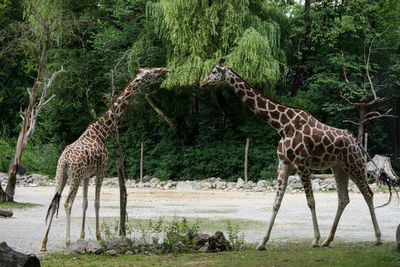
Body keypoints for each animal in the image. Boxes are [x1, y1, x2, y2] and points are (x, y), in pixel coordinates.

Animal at [41, 66, 170, 251]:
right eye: (149, 73)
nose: (163, 69)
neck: (101, 133)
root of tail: (64, 159)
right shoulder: (101, 169)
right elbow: (96, 202)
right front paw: (99, 237)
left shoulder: (87, 175)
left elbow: (85, 203)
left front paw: (82, 236)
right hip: (74, 176)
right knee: (67, 203)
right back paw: (67, 241)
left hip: (61, 175)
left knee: (54, 203)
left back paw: (44, 244)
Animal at [200, 58, 382, 251]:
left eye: (214, 71)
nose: (202, 82)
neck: (281, 125)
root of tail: (356, 141)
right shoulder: (284, 163)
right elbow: (276, 202)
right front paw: (262, 242)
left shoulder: (301, 163)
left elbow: (311, 201)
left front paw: (314, 239)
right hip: (339, 167)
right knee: (343, 198)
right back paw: (328, 240)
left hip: (354, 165)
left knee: (368, 194)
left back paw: (377, 238)